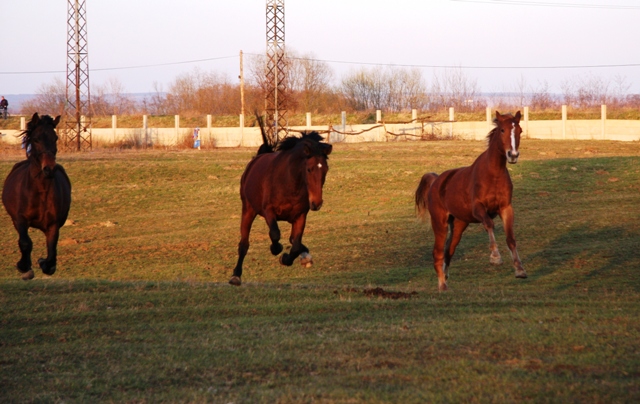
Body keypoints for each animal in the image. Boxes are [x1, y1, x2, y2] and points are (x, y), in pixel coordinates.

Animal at [2, 112, 72, 280]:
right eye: (36, 139)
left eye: (55, 138)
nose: (49, 169)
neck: (40, 191)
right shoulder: (21, 219)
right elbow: (25, 242)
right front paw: (24, 267)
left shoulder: (53, 224)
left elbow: (51, 253)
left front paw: (43, 262)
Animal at [229, 120, 330, 288]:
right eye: (309, 169)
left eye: (326, 170)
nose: (317, 203)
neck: (289, 183)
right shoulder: (269, 211)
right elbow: (275, 234)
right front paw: (276, 249)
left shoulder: (300, 216)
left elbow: (295, 244)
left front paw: (287, 259)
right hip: (248, 210)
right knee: (244, 244)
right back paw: (236, 275)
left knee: (293, 241)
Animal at [418, 110, 528, 290]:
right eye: (502, 130)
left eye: (520, 131)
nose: (512, 155)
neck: (493, 173)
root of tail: (436, 181)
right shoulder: (478, 209)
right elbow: (489, 224)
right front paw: (495, 256)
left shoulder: (506, 208)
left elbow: (511, 238)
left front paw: (519, 269)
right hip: (439, 223)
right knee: (438, 253)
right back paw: (442, 285)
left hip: (459, 224)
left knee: (449, 250)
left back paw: (446, 277)